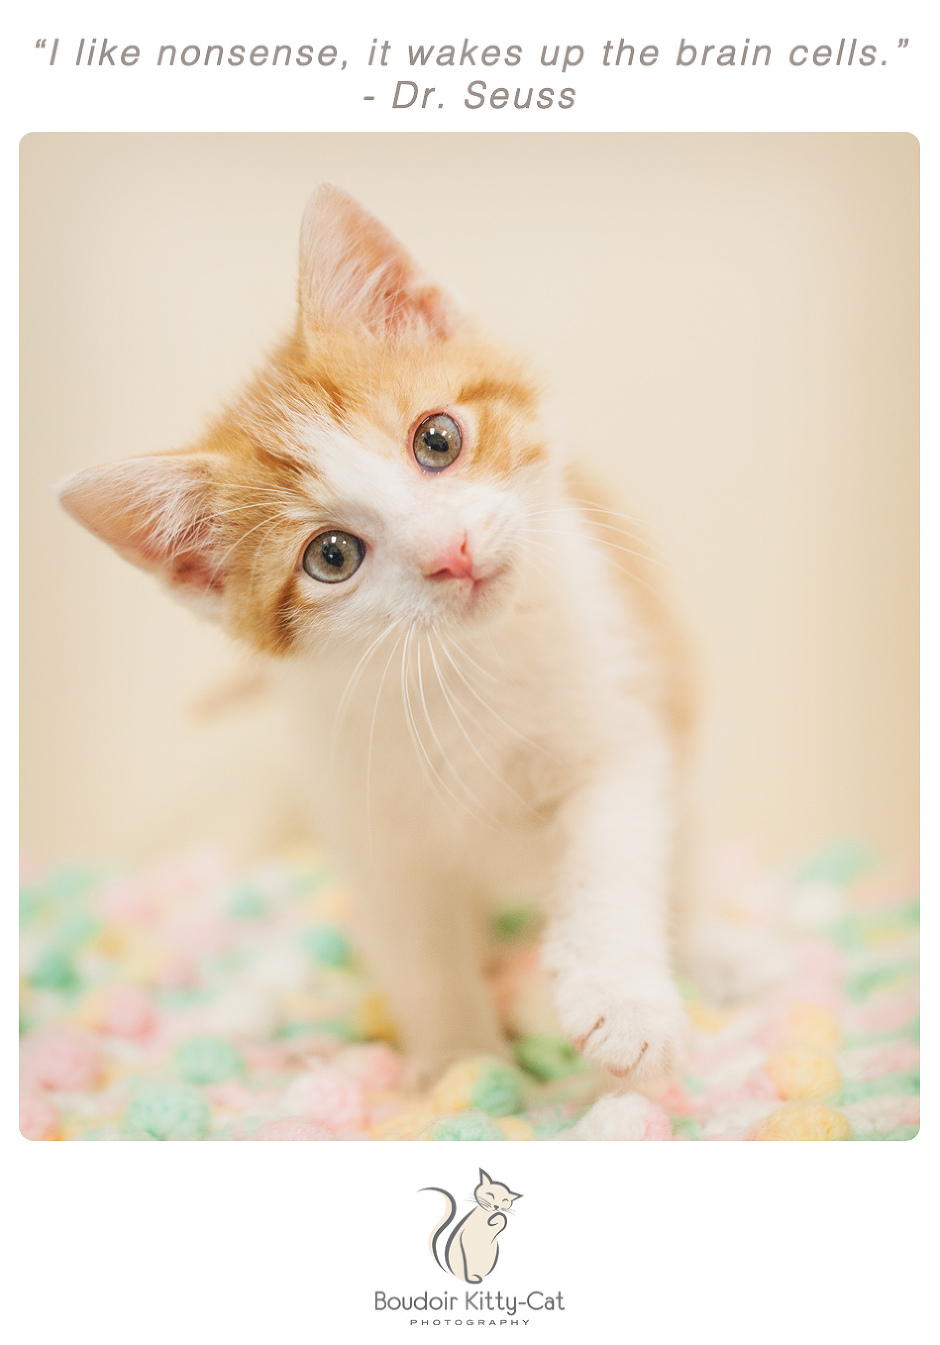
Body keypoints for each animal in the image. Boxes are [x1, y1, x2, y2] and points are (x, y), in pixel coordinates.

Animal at [58, 186, 693, 1092]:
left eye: (437, 438)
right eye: (332, 556)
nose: (449, 552)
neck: (463, 672)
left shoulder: (615, 724)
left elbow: (613, 855)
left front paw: (624, 1001)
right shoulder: (372, 826)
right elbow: (419, 946)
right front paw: (460, 1061)